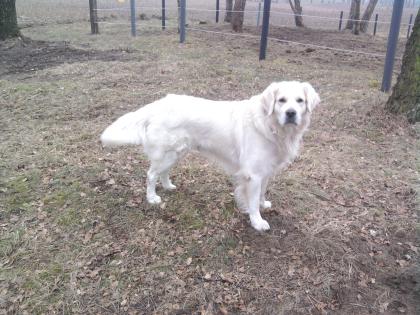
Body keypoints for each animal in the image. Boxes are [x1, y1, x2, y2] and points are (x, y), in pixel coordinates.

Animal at [101, 80, 318, 231]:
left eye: (300, 101)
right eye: (281, 100)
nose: (291, 113)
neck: (270, 125)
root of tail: (158, 104)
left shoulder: (265, 170)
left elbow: (262, 192)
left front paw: (264, 203)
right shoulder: (253, 174)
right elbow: (252, 200)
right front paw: (257, 221)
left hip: (176, 152)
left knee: (163, 172)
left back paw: (168, 186)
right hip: (166, 153)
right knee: (150, 174)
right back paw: (152, 197)